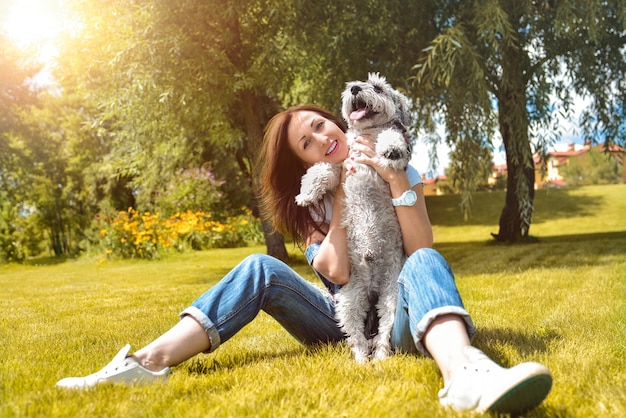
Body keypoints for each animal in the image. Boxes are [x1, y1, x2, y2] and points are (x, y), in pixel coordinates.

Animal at [296, 73, 412, 364]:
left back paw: (379, 358)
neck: (367, 133)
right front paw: (305, 195)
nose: (356, 88)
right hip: (349, 302)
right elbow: (321, 169)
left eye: (378, 87)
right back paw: (361, 360)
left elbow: (392, 135)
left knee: (383, 333)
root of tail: (372, 289)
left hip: (391, 296)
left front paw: (391, 149)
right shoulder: (340, 162)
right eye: (353, 85)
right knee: (357, 336)